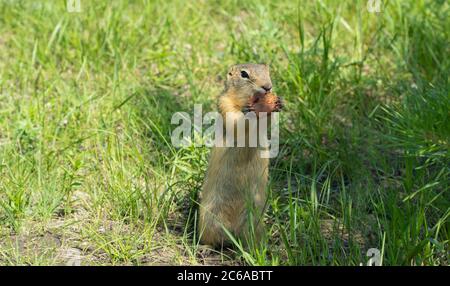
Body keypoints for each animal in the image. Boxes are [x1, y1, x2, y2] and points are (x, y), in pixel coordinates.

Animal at [198, 63, 282, 247]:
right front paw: (246, 111)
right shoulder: (224, 102)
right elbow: (235, 121)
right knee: (210, 239)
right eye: (244, 74)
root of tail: (232, 234)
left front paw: (278, 103)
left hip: (255, 220)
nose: (268, 87)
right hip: (208, 217)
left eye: (268, 71)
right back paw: (205, 247)